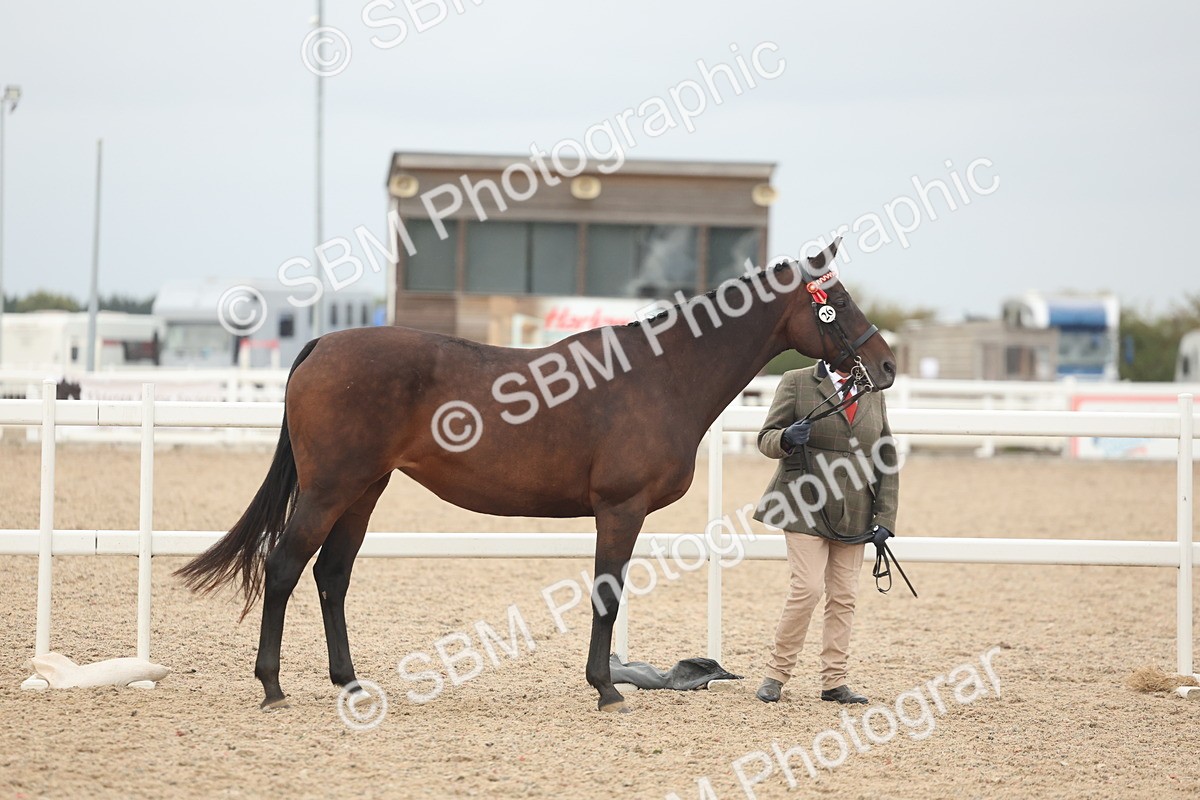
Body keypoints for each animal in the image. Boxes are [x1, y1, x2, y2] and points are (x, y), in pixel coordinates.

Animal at [176, 237, 897, 713]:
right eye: (836, 303)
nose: (886, 366)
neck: (661, 376)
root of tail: (323, 344)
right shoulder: (620, 508)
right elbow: (607, 595)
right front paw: (606, 689)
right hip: (330, 488)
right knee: (285, 566)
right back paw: (272, 686)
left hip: (364, 490)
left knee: (331, 576)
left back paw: (348, 682)